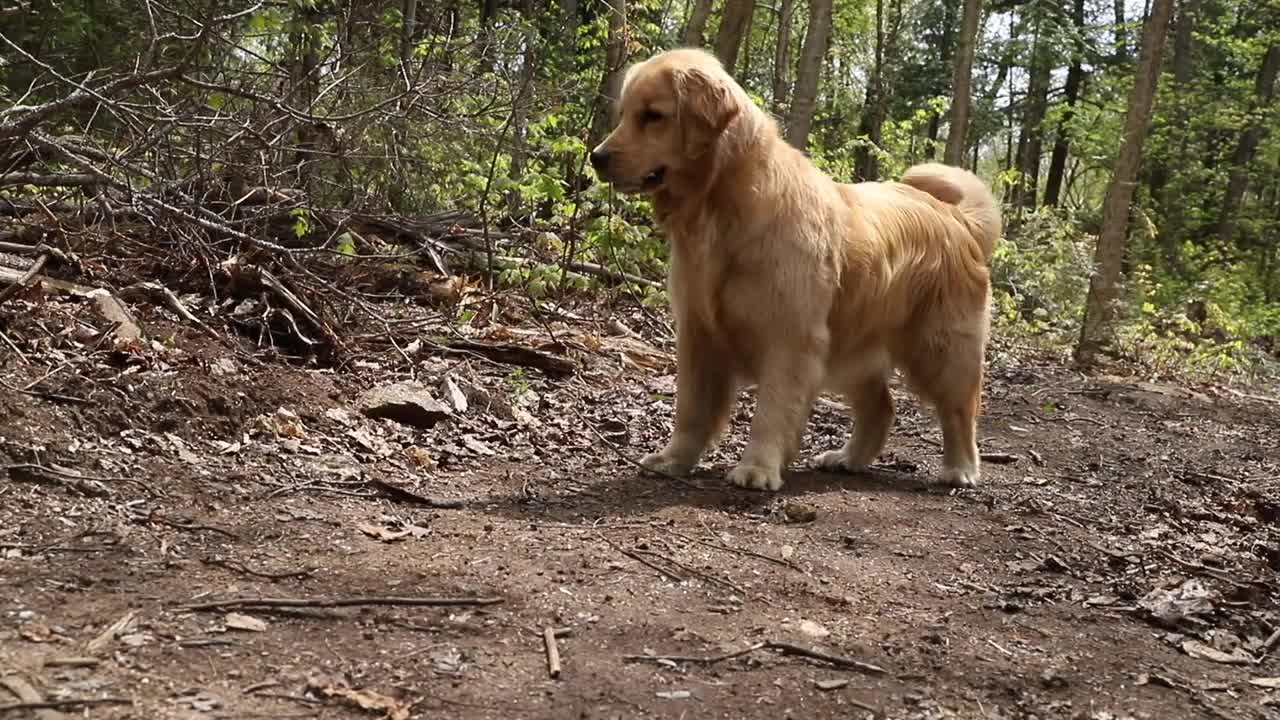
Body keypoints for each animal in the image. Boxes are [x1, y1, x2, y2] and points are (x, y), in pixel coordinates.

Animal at [588, 47, 998, 489]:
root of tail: (955, 217)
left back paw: (960, 469)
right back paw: (848, 458)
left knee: (959, 411)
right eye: (625, 114)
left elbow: (772, 410)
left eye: (653, 115)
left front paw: (757, 467)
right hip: (853, 346)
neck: (724, 205)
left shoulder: (790, 337)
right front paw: (673, 459)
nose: (596, 157)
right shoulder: (698, 332)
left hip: (940, 349)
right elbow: (691, 408)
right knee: (881, 407)